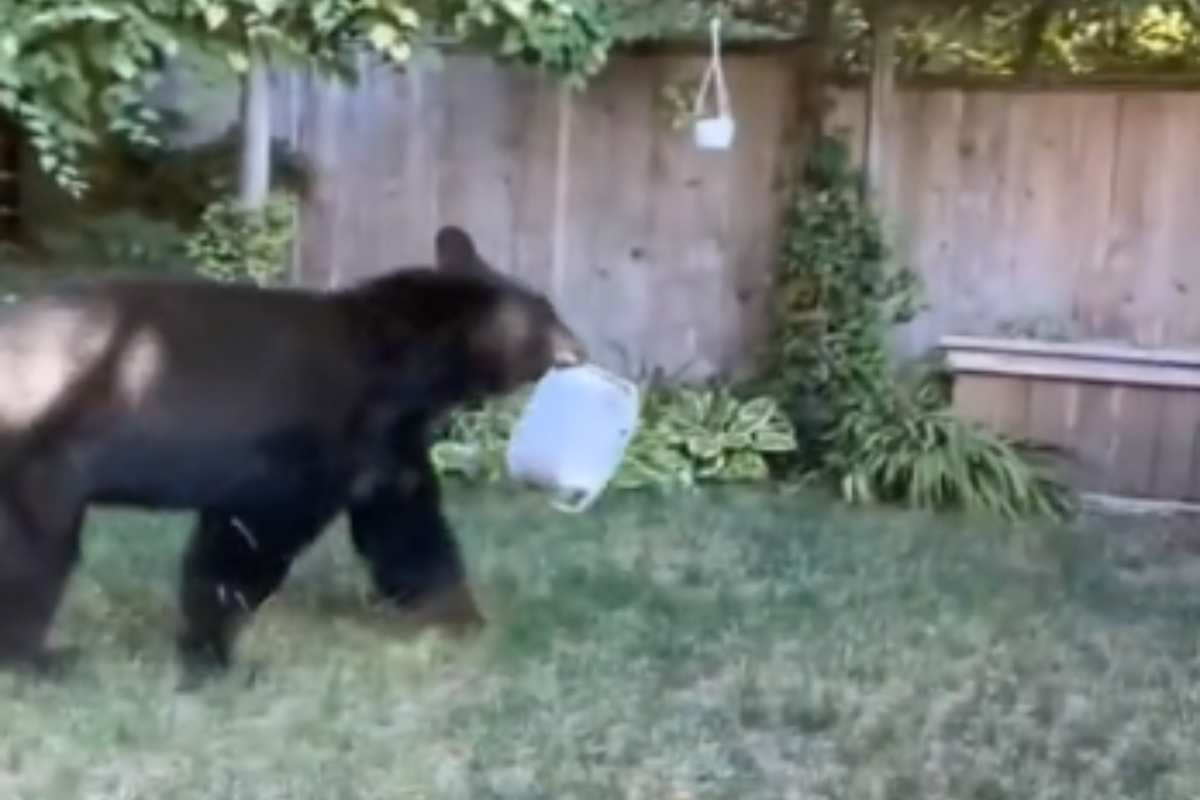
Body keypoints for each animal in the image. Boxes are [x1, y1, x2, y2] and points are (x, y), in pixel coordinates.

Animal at [0, 225, 585, 681]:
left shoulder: (383, 447)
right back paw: (41, 660)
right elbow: (246, 540)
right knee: (34, 555)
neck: (398, 367)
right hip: (39, 455)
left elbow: (407, 527)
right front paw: (213, 655)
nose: (580, 349)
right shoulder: (302, 444)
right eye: (547, 313)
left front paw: (461, 620)